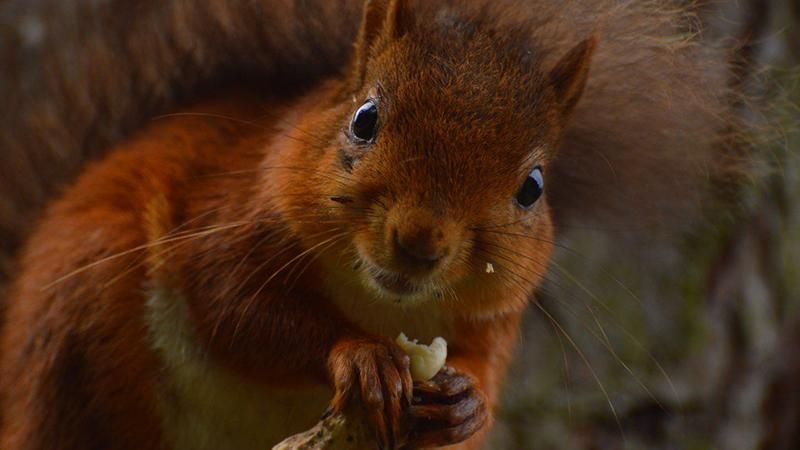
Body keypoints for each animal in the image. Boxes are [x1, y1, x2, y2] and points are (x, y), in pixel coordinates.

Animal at [0, 0, 752, 450]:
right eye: (365, 119)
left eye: (532, 188)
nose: (421, 240)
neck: (381, 303)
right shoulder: (226, 224)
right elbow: (238, 313)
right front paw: (360, 356)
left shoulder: (497, 316)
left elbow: (485, 373)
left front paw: (468, 403)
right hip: (83, 311)